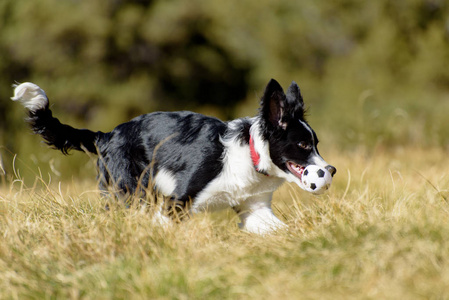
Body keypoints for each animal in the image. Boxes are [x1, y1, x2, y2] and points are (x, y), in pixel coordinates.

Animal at [10, 79, 334, 234]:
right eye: (303, 145)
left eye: (316, 143)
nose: (330, 170)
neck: (249, 153)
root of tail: (106, 135)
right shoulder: (177, 202)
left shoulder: (253, 210)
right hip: (129, 194)